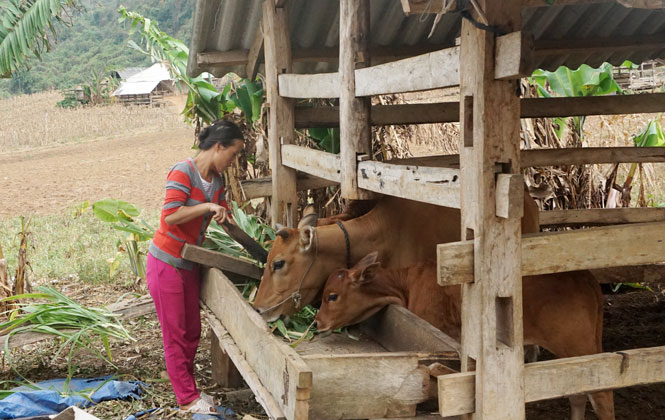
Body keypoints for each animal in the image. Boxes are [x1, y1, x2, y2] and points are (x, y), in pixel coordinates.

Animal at [314, 253, 616, 420]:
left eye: (332, 296)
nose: (316, 322)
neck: (405, 285)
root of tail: (586, 279)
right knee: (578, 393)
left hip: (578, 345)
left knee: (602, 397)